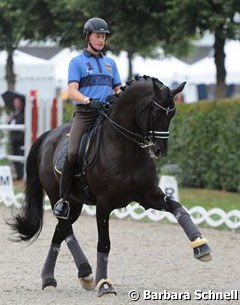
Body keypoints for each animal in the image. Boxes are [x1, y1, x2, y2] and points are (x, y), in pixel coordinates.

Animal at [8, 76, 211, 296]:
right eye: (156, 112)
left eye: (172, 114)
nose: (159, 150)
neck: (126, 148)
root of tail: (49, 135)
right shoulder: (104, 204)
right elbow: (104, 243)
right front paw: (104, 283)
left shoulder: (148, 196)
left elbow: (177, 208)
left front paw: (200, 246)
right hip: (56, 196)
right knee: (65, 227)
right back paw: (84, 272)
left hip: (75, 203)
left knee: (59, 232)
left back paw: (53, 277)